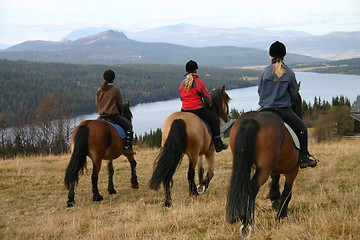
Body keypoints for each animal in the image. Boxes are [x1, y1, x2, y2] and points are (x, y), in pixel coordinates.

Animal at [226, 83, 302, 237]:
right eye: (298, 100)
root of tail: (253, 120)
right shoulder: (293, 169)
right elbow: (288, 191)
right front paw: (281, 215)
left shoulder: (275, 168)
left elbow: (276, 181)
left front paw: (275, 201)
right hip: (264, 169)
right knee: (252, 187)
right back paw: (248, 223)